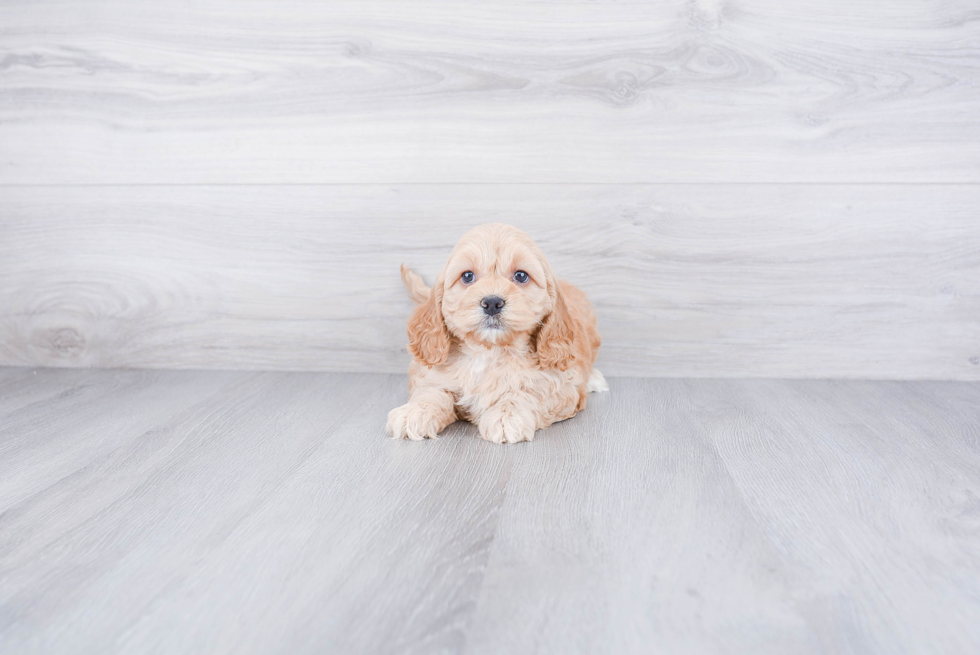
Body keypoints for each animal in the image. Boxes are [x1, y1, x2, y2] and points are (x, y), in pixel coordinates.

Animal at [388, 226, 604, 446]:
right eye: (467, 276)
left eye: (521, 276)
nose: (492, 302)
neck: (488, 351)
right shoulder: (433, 374)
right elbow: (432, 391)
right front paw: (415, 412)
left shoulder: (562, 386)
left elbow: (528, 392)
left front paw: (506, 415)